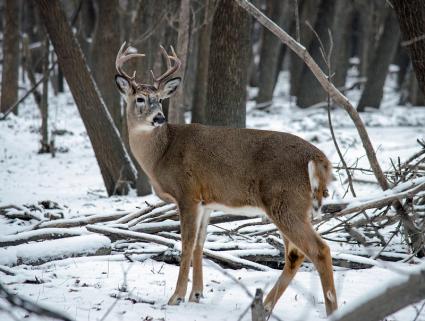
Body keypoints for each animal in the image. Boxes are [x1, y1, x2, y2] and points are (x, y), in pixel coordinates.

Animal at [113, 42, 338, 316]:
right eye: (140, 99)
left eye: (161, 100)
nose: (159, 118)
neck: (161, 154)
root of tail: (318, 158)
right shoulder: (205, 200)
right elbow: (200, 243)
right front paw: (196, 295)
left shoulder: (187, 193)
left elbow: (186, 243)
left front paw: (176, 297)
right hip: (293, 206)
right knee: (296, 255)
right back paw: (264, 307)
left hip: (286, 202)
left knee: (319, 250)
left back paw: (331, 310)